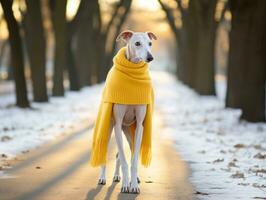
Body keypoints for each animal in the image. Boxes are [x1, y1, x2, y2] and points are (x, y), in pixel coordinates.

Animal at [97, 30, 156, 193]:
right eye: (137, 43)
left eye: (150, 43)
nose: (150, 57)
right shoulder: (117, 124)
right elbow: (123, 160)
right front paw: (125, 185)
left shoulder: (140, 126)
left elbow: (133, 159)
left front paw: (133, 184)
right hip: (110, 127)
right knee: (107, 153)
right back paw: (104, 177)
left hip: (130, 132)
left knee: (124, 153)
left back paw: (124, 177)